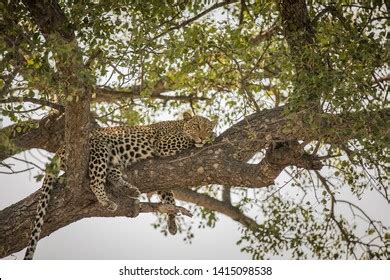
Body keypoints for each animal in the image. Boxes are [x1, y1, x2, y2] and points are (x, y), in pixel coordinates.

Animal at [23, 112, 216, 260]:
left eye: (207, 128)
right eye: (197, 126)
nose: (203, 136)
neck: (178, 124)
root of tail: (60, 148)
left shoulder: (163, 178)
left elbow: (168, 195)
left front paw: (172, 221)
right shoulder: (163, 144)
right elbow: (186, 140)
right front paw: (208, 139)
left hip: (113, 159)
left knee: (111, 174)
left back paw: (128, 189)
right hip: (100, 148)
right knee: (95, 180)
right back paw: (107, 201)